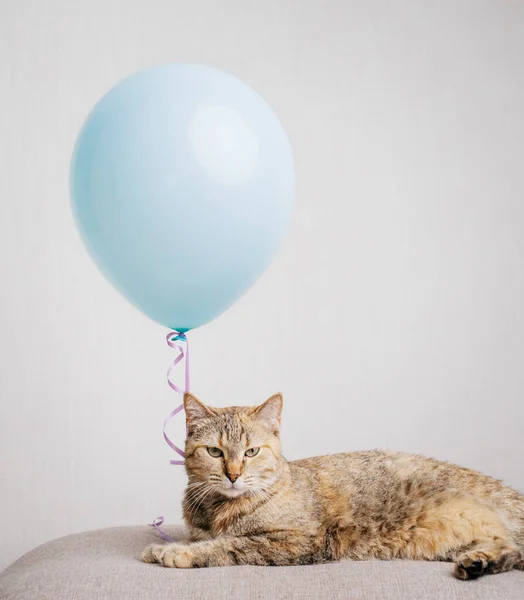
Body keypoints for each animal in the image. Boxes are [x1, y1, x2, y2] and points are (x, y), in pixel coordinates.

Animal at [143, 392, 524, 580]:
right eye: (215, 452)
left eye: (251, 451)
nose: (233, 474)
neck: (218, 509)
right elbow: (207, 539)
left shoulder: (298, 540)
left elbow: (227, 545)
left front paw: (177, 552)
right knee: (508, 551)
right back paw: (478, 563)